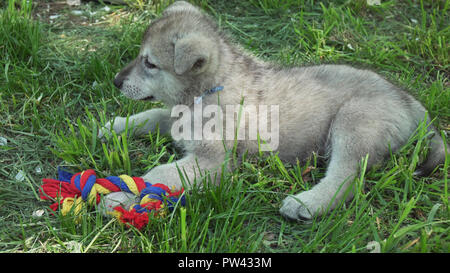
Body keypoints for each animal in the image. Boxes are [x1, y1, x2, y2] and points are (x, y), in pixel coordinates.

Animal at [98, 1, 446, 220]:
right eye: (140, 57)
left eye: (150, 63)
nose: (115, 81)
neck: (208, 90)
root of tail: (412, 103)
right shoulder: (174, 118)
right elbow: (150, 116)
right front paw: (112, 127)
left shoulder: (213, 162)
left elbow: (159, 174)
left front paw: (120, 197)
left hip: (354, 122)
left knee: (346, 178)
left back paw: (307, 203)